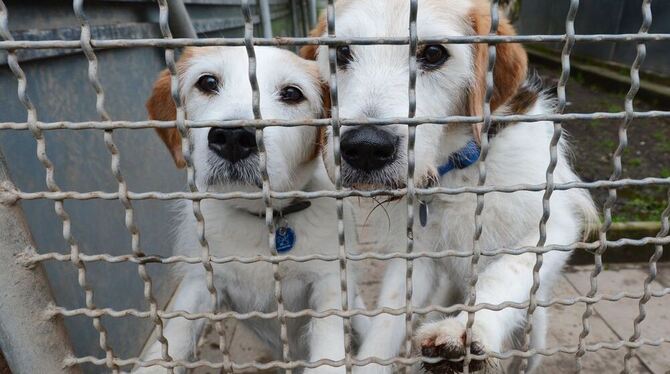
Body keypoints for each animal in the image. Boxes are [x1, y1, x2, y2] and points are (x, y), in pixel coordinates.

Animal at [304, 1, 600, 372]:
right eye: (342, 52)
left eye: (433, 53)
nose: (365, 147)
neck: (459, 169)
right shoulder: (416, 253)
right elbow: (388, 318)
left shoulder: (554, 224)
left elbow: (508, 270)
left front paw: (467, 331)